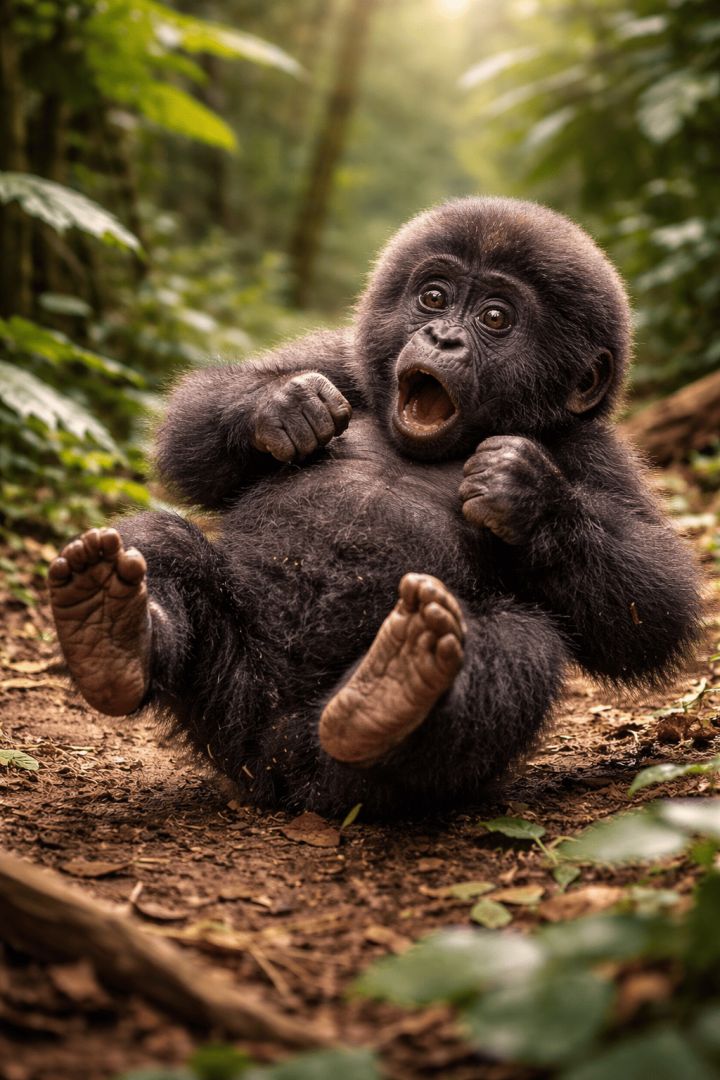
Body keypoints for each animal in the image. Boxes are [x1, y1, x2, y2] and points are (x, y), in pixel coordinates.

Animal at [48, 197, 701, 818]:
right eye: (433, 297)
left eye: (495, 318)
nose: (442, 339)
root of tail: (275, 763)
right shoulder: (345, 357)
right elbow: (192, 442)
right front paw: (281, 404)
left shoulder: (593, 449)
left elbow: (649, 609)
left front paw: (526, 492)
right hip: (230, 718)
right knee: (165, 544)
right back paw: (111, 630)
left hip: (341, 773)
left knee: (521, 642)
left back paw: (389, 693)